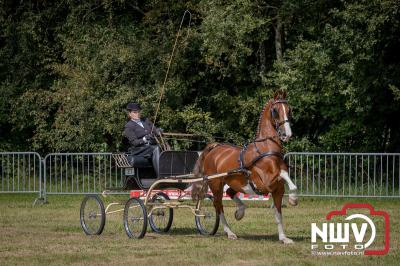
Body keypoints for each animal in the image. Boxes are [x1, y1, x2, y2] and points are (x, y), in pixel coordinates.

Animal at [192, 91, 298, 243]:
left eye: (289, 110)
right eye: (275, 111)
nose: (286, 134)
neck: (266, 148)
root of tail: (215, 147)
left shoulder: (278, 190)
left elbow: (278, 214)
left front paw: (284, 238)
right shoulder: (265, 183)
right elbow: (282, 174)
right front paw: (293, 199)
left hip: (234, 181)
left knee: (229, 192)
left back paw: (240, 212)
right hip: (216, 184)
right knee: (218, 206)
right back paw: (230, 232)